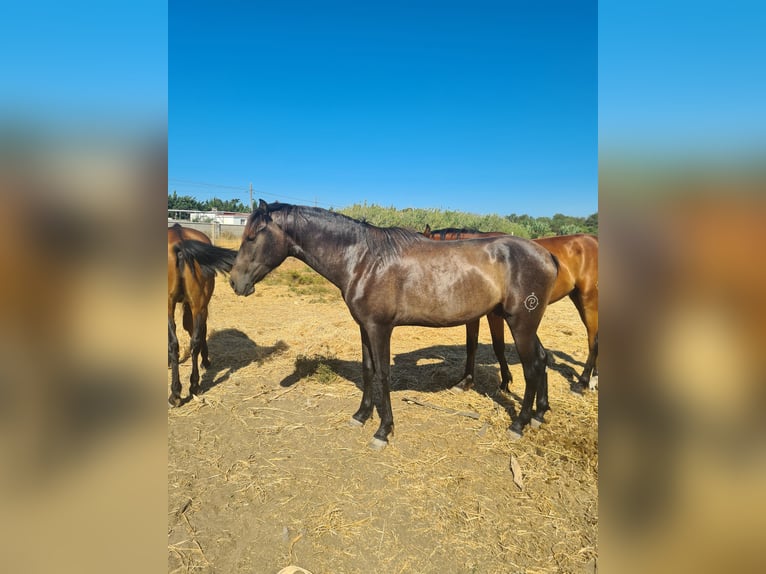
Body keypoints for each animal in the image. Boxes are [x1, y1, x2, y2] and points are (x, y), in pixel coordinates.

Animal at [231, 202, 560, 450]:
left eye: (252, 237)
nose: (235, 283)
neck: (363, 260)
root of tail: (547, 255)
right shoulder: (364, 327)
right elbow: (367, 370)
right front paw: (361, 415)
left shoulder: (380, 328)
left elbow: (383, 374)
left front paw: (383, 430)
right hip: (525, 325)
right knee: (542, 359)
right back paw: (539, 414)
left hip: (520, 324)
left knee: (532, 368)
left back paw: (519, 424)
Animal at [426, 225, 600, 396]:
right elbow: (471, 345)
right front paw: (465, 382)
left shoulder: (493, 314)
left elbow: (498, 346)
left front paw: (504, 382)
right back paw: (594, 380)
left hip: (588, 300)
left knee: (593, 341)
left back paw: (582, 383)